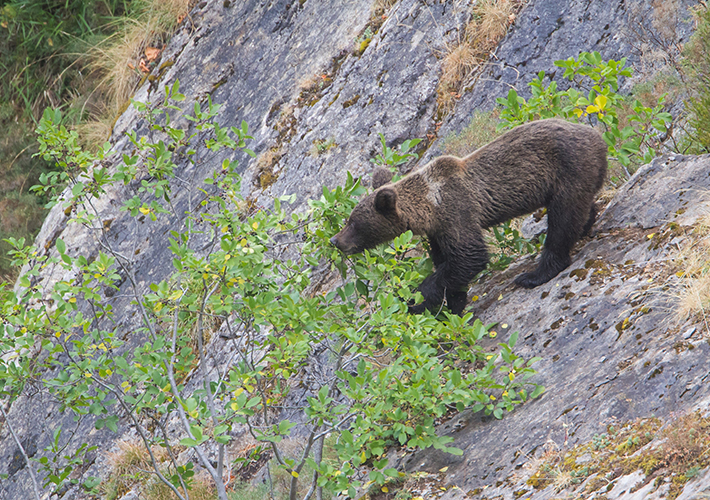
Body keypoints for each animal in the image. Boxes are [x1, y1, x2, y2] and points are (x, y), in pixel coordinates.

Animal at [330, 118, 608, 314]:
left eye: (353, 222)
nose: (335, 240)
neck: (429, 205)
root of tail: (598, 135)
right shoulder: (438, 231)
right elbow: (450, 265)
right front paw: (451, 304)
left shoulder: (457, 210)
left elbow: (469, 257)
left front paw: (414, 299)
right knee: (578, 211)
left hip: (569, 168)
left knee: (562, 219)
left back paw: (534, 274)